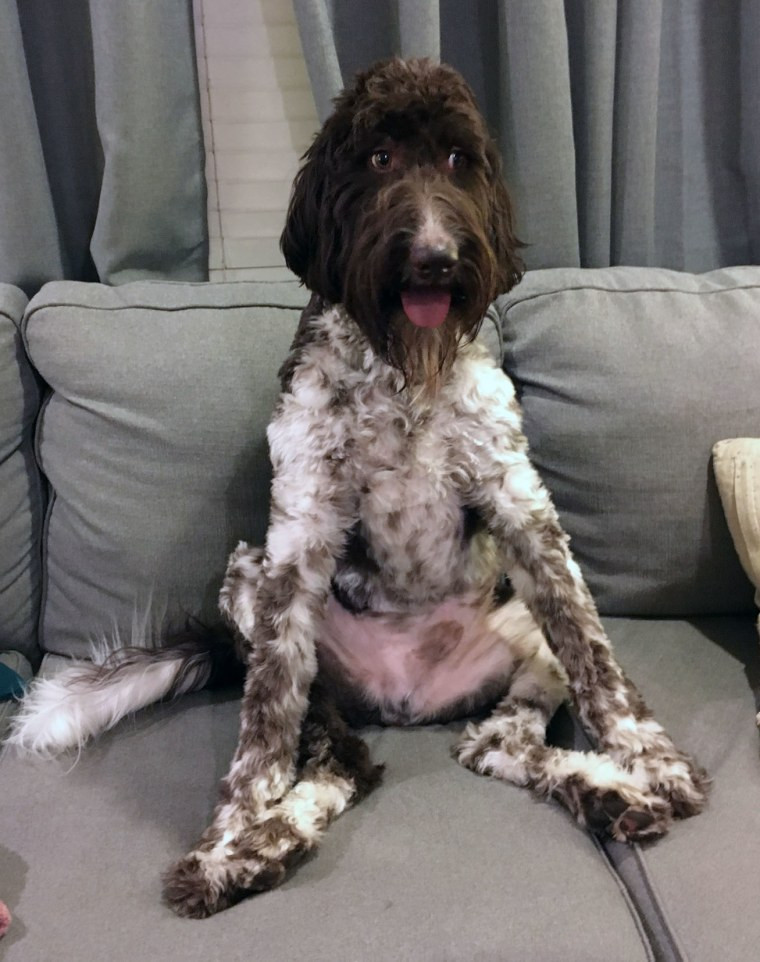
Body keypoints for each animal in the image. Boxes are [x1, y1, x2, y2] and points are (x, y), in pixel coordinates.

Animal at [5, 58, 708, 916]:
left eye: (457, 160)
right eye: (377, 159)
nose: (437, 258)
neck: (403, 367)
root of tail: (408, 697)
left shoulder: (524, 510)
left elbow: (598, 661)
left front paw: (654, 762)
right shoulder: (298, 534)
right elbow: (262, 740)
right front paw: (227, 840)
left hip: (521, 637)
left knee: (491, 739)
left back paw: (610, 792)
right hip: (256, 592)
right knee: (341, 760)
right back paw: (257, 852)